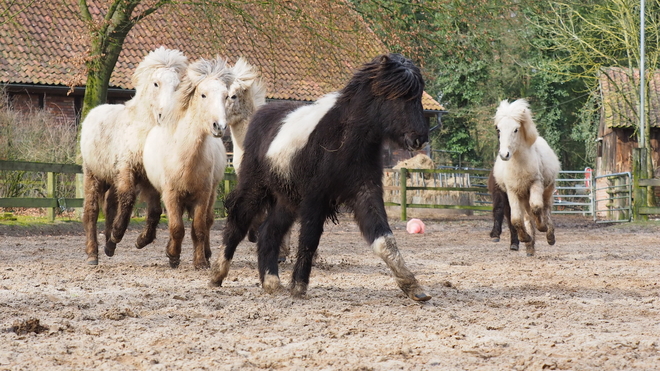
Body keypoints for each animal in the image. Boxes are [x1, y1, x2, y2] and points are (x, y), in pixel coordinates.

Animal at [81, 46, 188, 266]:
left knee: (110, 206)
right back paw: (93, 254)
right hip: (93, 174)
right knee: (91, 211)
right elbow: (129, 200)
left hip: (111, 179)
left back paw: (109, 247)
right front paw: (118, 234)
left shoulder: (149, 179)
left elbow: (154, 211)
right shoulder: (126, 168)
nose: (165, 115)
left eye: (177, 85)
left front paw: (141, 240)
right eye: (156, 83)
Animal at [143, 56, 233, 270]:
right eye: (203, 95)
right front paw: (173, 256)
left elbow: (199, 228)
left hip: (212, 193)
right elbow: (176, 228)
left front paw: (200, 262)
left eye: (226, 96)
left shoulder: (202, 195)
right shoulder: (171, 195)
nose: (219, 126)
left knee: (207, 222)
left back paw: (206, 254)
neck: (185, 157)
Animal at [209, 53, 430, 302]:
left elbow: (384, 239)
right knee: (238, 222)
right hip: (255, 188)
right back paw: (217, 275)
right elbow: (309, 239)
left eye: (417, 96)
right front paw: (299, 286)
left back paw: (272, 282)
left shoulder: (365, 193)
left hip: (286, 201)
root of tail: (260, 116)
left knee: (268, 232)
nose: (420, 139)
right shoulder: (316, 197)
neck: (343, 141)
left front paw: (413, 286)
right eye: (397, 96)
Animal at [492, 98, 560, 256]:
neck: (519, 164)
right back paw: (530, 247)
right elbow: (516, 219)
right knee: (528, 218)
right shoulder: (512, 191)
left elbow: (536, 207)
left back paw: (550, 235)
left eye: (516, 129)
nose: (504, 155)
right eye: (499, 129)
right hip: (523, 197)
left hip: (548, 190)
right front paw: (525, 238)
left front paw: (542, 227)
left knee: (545, 209)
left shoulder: (536, 184)